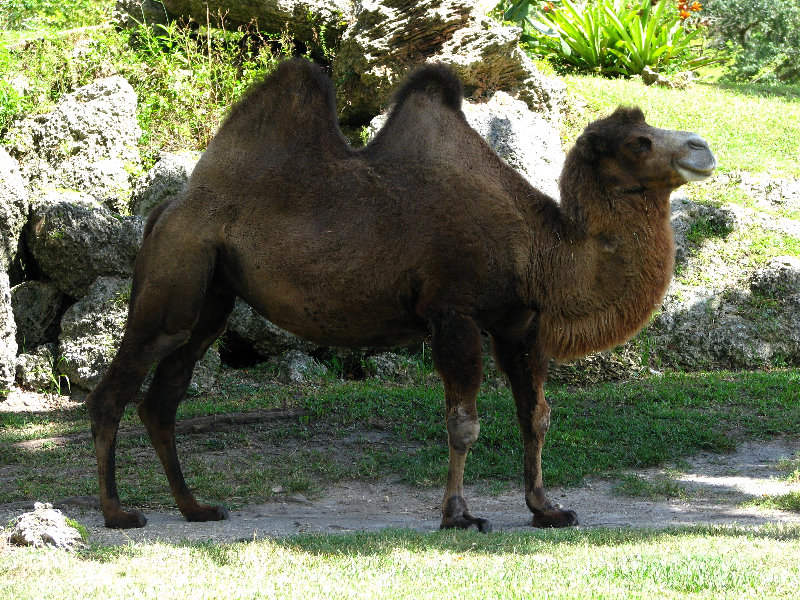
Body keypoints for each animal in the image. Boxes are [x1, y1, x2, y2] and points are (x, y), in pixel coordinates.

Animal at [84, 57, 716, 528]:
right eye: (637, 143)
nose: (701, 148)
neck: (539, 249)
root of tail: (168, 208)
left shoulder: (519, 321)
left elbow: (535, 415)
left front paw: (547, 508)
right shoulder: (453, 312)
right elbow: (463, 422)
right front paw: (458, 514)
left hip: (212, 294)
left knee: (163, 395)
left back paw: (195, 507)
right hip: (178, 268)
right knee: (115, 389)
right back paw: (118, 513)